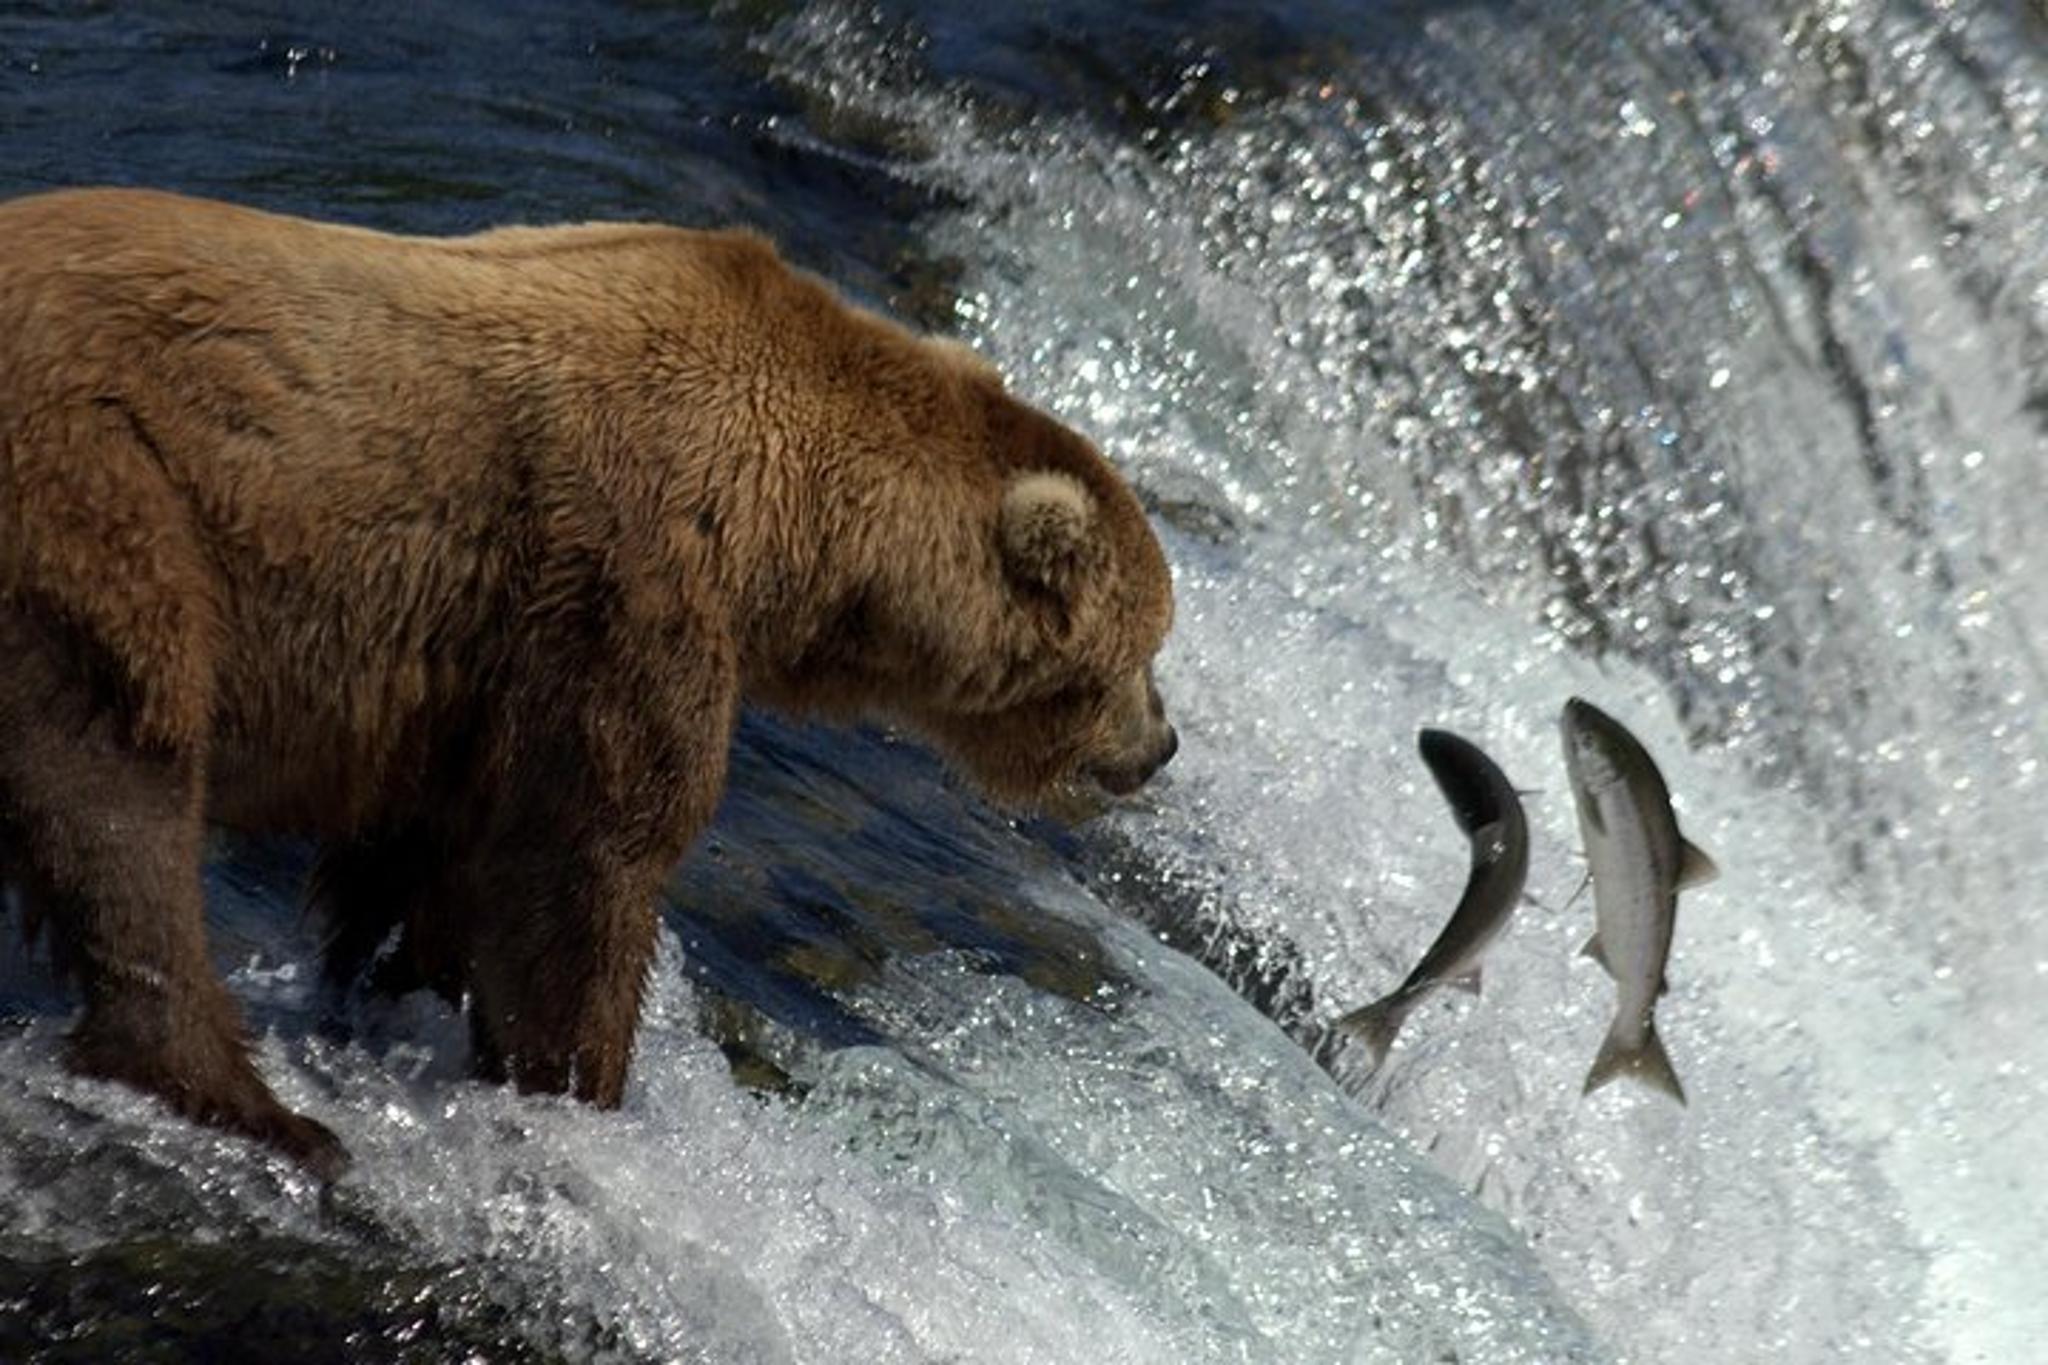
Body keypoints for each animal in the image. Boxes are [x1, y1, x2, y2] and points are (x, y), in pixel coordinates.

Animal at [0, 187, 1177, 1178]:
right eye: (1143, 648)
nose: (1159, 745)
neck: (797, 539)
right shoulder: (625, 578)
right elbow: (592, 850)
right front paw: (578, 1084)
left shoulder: (467, 672)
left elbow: (430, 855)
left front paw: (391, 992)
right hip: (105, 505)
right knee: (122, 788)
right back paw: (252, 1104)